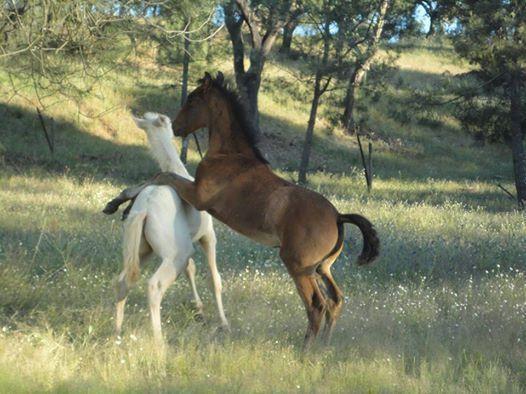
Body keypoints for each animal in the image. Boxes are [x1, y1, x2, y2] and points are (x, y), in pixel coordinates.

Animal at [116, 111, 228, 342]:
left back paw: (117, 333)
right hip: (176, 254)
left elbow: (191, 270)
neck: (177, 170)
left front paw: (199, 311)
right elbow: (214, 279)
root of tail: (144, 209)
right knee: (154, 286)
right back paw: (159, 342)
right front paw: (223, 323)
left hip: (142, 252)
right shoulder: (207, 236)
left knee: (123, 281)